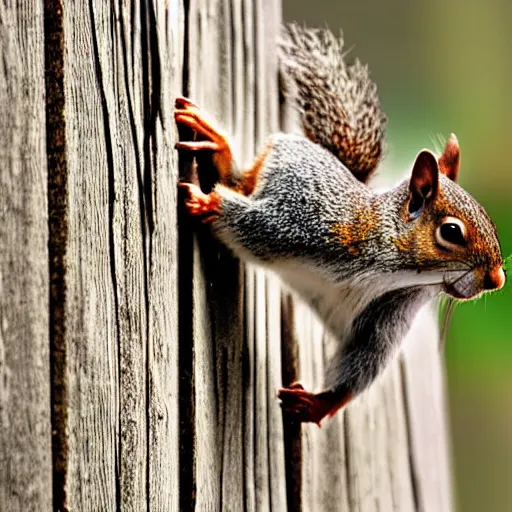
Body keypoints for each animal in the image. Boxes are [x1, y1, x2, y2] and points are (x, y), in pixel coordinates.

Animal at [175, 24, 504, 426]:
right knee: (241, 184)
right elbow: (254, 223)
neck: (392, 267)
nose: (497, 279)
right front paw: (210, 203)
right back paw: (217, 144)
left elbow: (364, 359)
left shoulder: (383, 317)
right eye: (452, 232)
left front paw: (320, 404)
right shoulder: (307, 224)